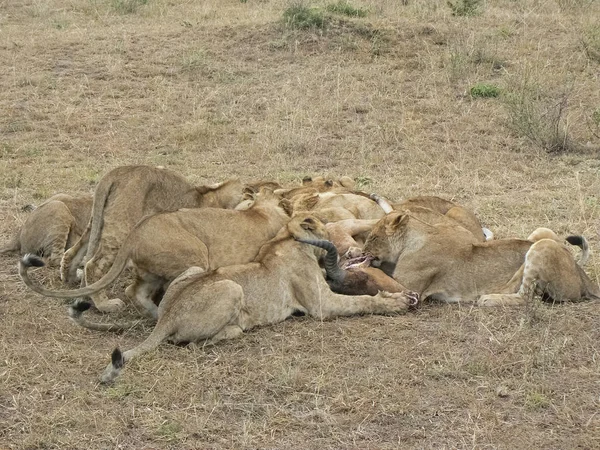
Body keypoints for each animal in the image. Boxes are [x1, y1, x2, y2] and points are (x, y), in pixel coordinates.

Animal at [22, 190, 294, 320]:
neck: (261, 210)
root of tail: (134, 234)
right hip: (196, 255)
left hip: (153, 268)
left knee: (134, 290)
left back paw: (151, 312)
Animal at [58, 165, 241, 312]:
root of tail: (119, 172)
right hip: (121, 227)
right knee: (93, 265)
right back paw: (106, 305)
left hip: (98, 222)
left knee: (72, 251)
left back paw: (71, 278)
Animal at [68, 214, 418, 384]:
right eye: (323, 225)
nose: (347, 249)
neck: (286, 239)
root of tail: (166, 317)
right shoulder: (322, 305)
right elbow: (362, 302)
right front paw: (397, 301)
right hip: (230, 287)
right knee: (192, 342)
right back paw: (235, 329)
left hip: (197, 269)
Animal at [358, 212, 596, 306]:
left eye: (373, 237)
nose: (363, 251)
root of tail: (582, 275)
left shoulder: (408, 286)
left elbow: (377, 273)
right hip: (541, 234)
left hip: (542, 246)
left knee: (527, 297)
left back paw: (488, 299)